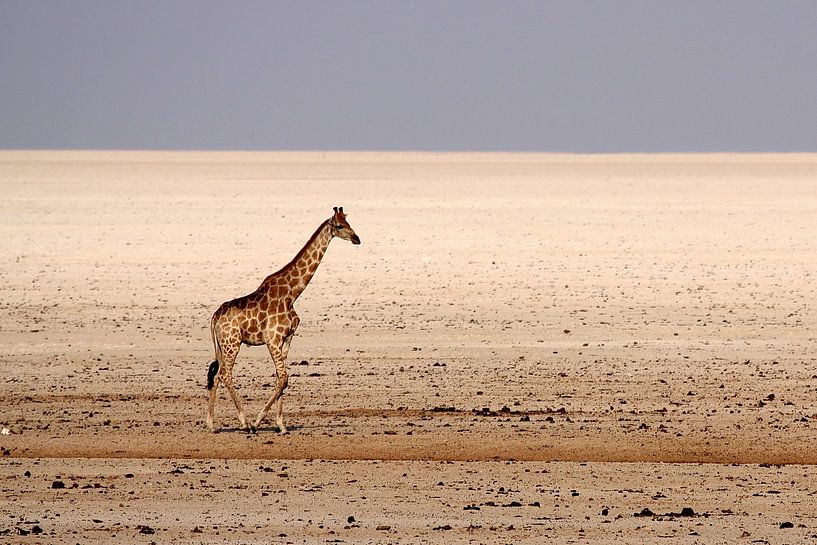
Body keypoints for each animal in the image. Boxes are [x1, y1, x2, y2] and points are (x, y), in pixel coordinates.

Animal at [205, 207, 360, 433]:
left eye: (350, 223)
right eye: (340, 226)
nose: (357, 239)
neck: (292, 293)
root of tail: (214, 317)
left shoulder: (287, 339)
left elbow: (282, 378)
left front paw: (281, 425)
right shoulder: (273, 339)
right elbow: (284, 378)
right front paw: (258, 421)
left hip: (222, 346)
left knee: (216, 376)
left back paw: (212, 424)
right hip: (232, 343)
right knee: (225, 374)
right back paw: (244, 422)